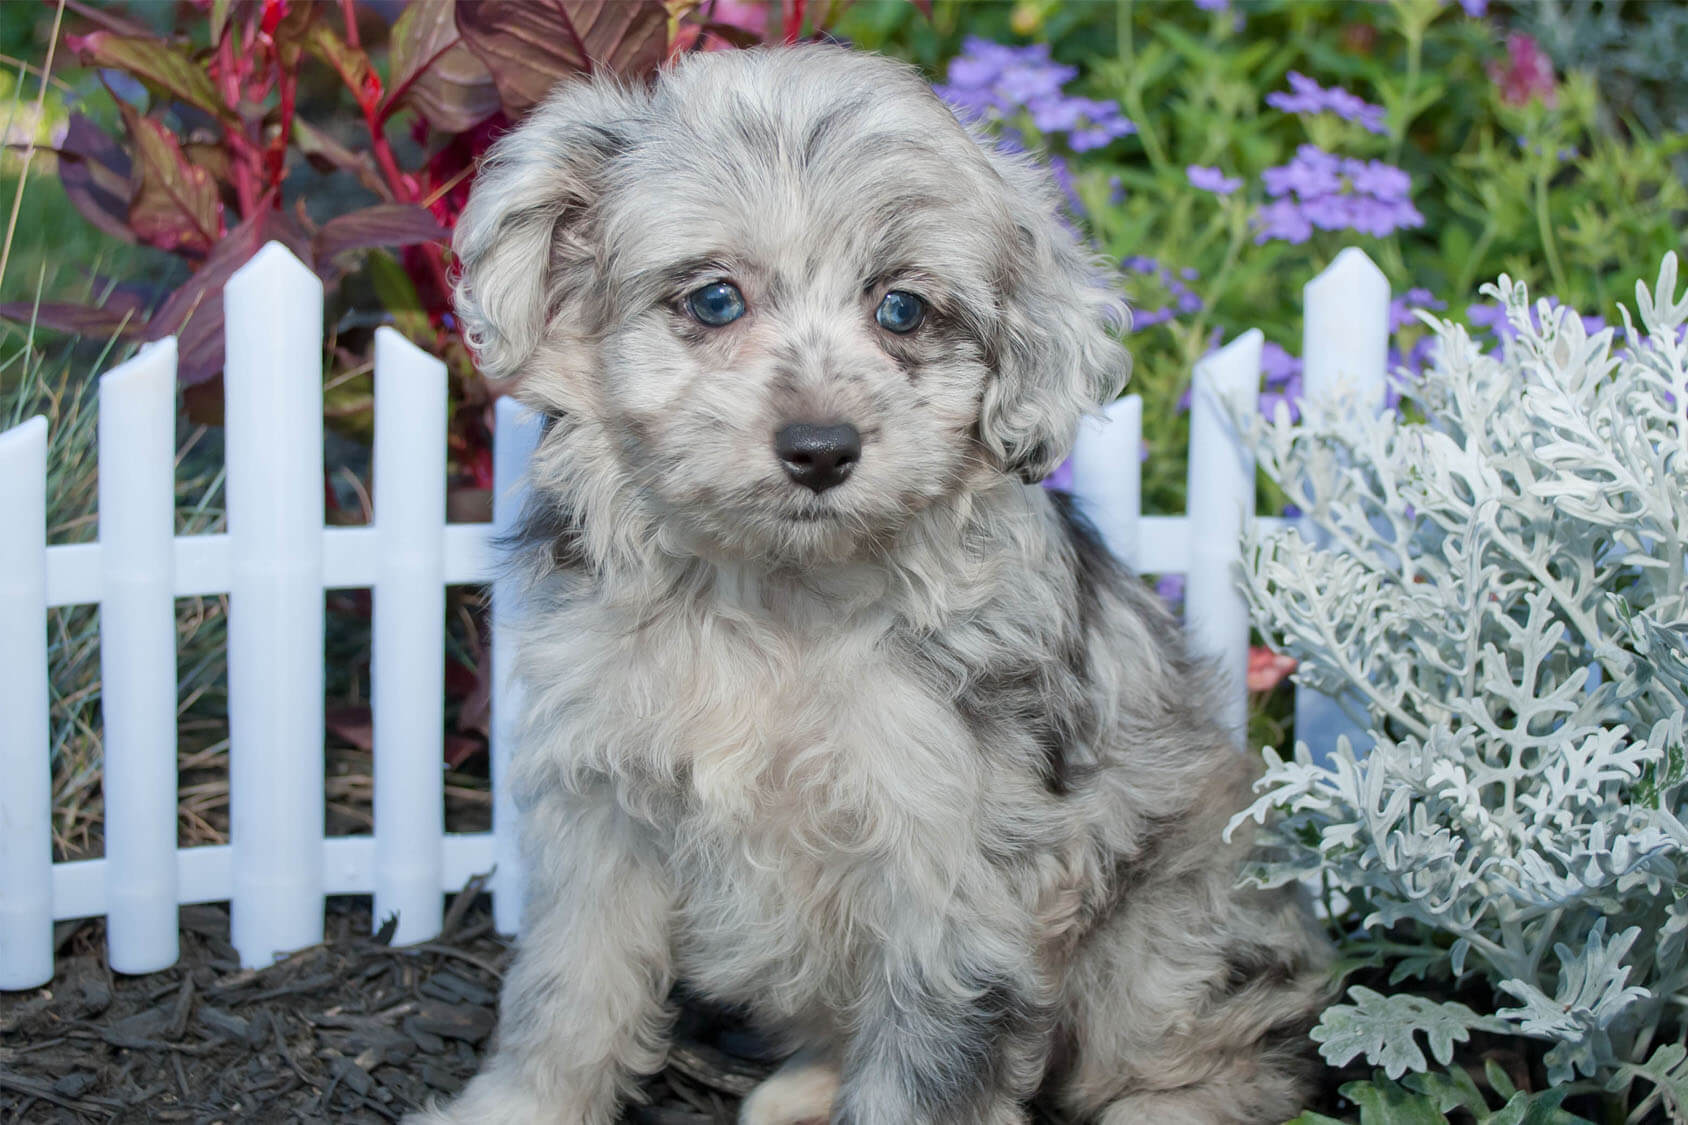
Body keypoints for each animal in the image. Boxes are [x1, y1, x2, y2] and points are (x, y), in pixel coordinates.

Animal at [411, 41, 1330, 1121]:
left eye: (901, 309)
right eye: (714, 298)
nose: (820, 449)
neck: (776, 606)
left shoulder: (958, 868)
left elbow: (926, 1071)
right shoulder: (602, 813)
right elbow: (569, 991)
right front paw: (518, 1104)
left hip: (1169, 934)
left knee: (1228, 1049)